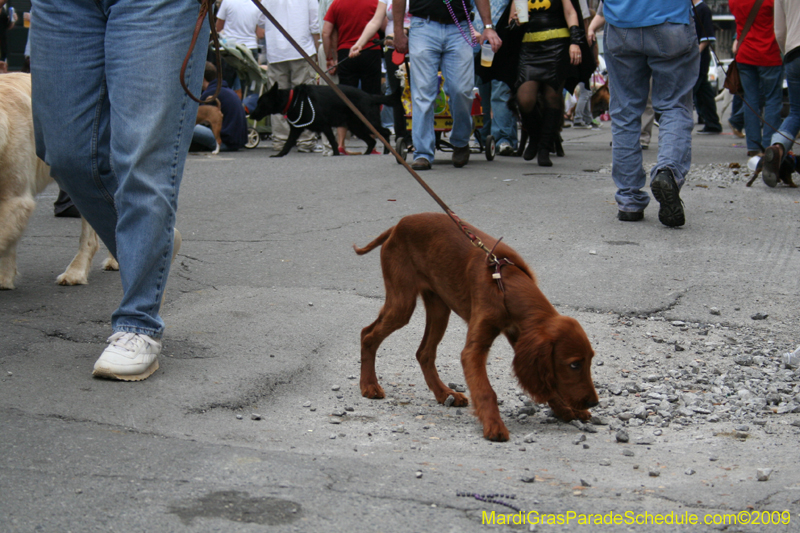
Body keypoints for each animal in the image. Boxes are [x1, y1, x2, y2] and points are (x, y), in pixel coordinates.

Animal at [248, 81, 396, 156]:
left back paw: (387, 151)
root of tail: (371, 96)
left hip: (368, 123)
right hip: (357, 127)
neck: (294, 100)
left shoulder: (325, 126)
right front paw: (279, 155)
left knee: (385, 133)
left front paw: (335, 154)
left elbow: (333, 142)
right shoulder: (296, 130)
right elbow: (287, 144)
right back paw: (366, 153)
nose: (251, 115)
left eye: (260, 103)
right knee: (372, 141)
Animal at [354, 212, 596, 440]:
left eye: (590, 361)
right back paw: (369, 385)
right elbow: (486, 390)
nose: (593, 402)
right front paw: (494, 425)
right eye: (574, 364)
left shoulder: (520, 337)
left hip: (439, 307)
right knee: (368, 334)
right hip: (402, 302)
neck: (505, 286)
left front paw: (566, 409)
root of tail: (398, 225)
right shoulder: (475, 349)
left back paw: (444, 394)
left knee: (423, 352)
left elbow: (547, 382)